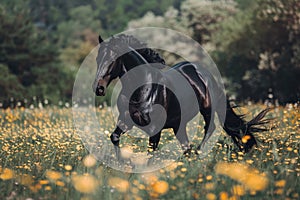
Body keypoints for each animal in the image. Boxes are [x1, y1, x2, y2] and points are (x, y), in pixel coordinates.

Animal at [92, 33, 270, 154]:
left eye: (113, 59)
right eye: (97, 58)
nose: (98, 88)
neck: (143, 89)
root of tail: (204, 73)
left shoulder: (155, 128)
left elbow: (151, 150)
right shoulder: (126, 120)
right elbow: (114, 137)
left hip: (207, 109)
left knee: (209, 128)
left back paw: (198, 152)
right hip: (179, 124)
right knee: (186, 144)